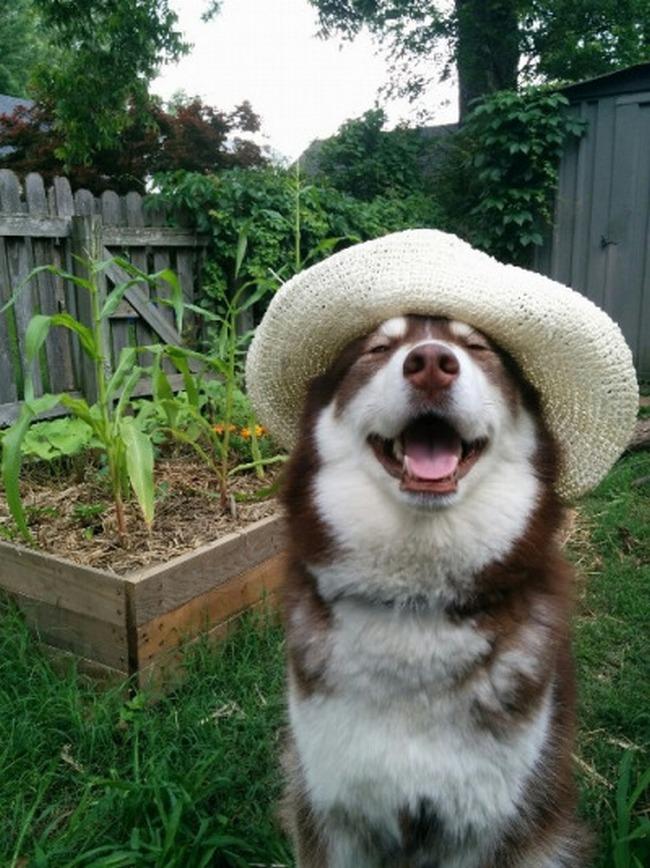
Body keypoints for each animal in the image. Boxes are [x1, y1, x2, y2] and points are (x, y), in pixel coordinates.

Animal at [278, 316, 588, 864]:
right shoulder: (333, 811)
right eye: (378, 349)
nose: (430, 364)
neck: (416, 608)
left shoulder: (483, 826)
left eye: (477, 347)